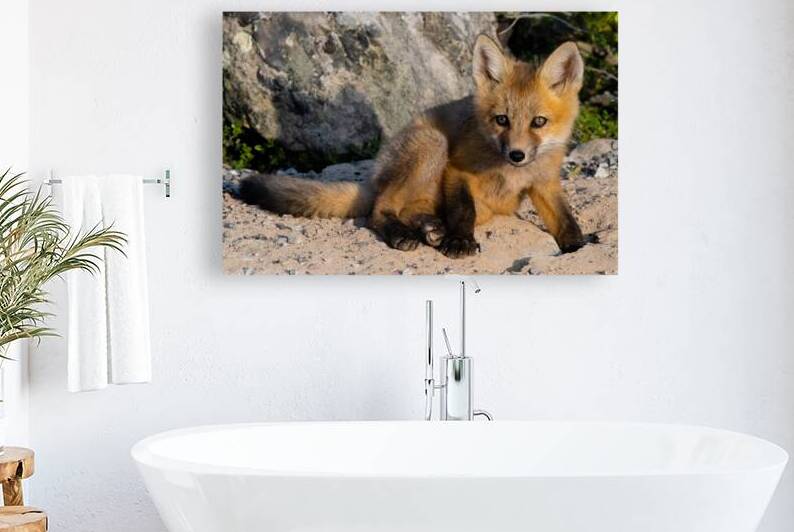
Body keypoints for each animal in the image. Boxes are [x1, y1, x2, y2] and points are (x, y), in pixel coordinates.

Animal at [240, 34, 591, 258]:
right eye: (502, 120)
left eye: (539, 122)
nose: (516, 154)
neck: (509, 173)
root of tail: (376, 174)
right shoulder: (457, 171)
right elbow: (463, 211)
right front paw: (460, 241)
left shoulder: (544, 183)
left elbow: (565, 220)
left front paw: (578, 245)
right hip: (432, 145)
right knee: (380, 209)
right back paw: (404, 234)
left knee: (411, 210)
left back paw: (430, 228)